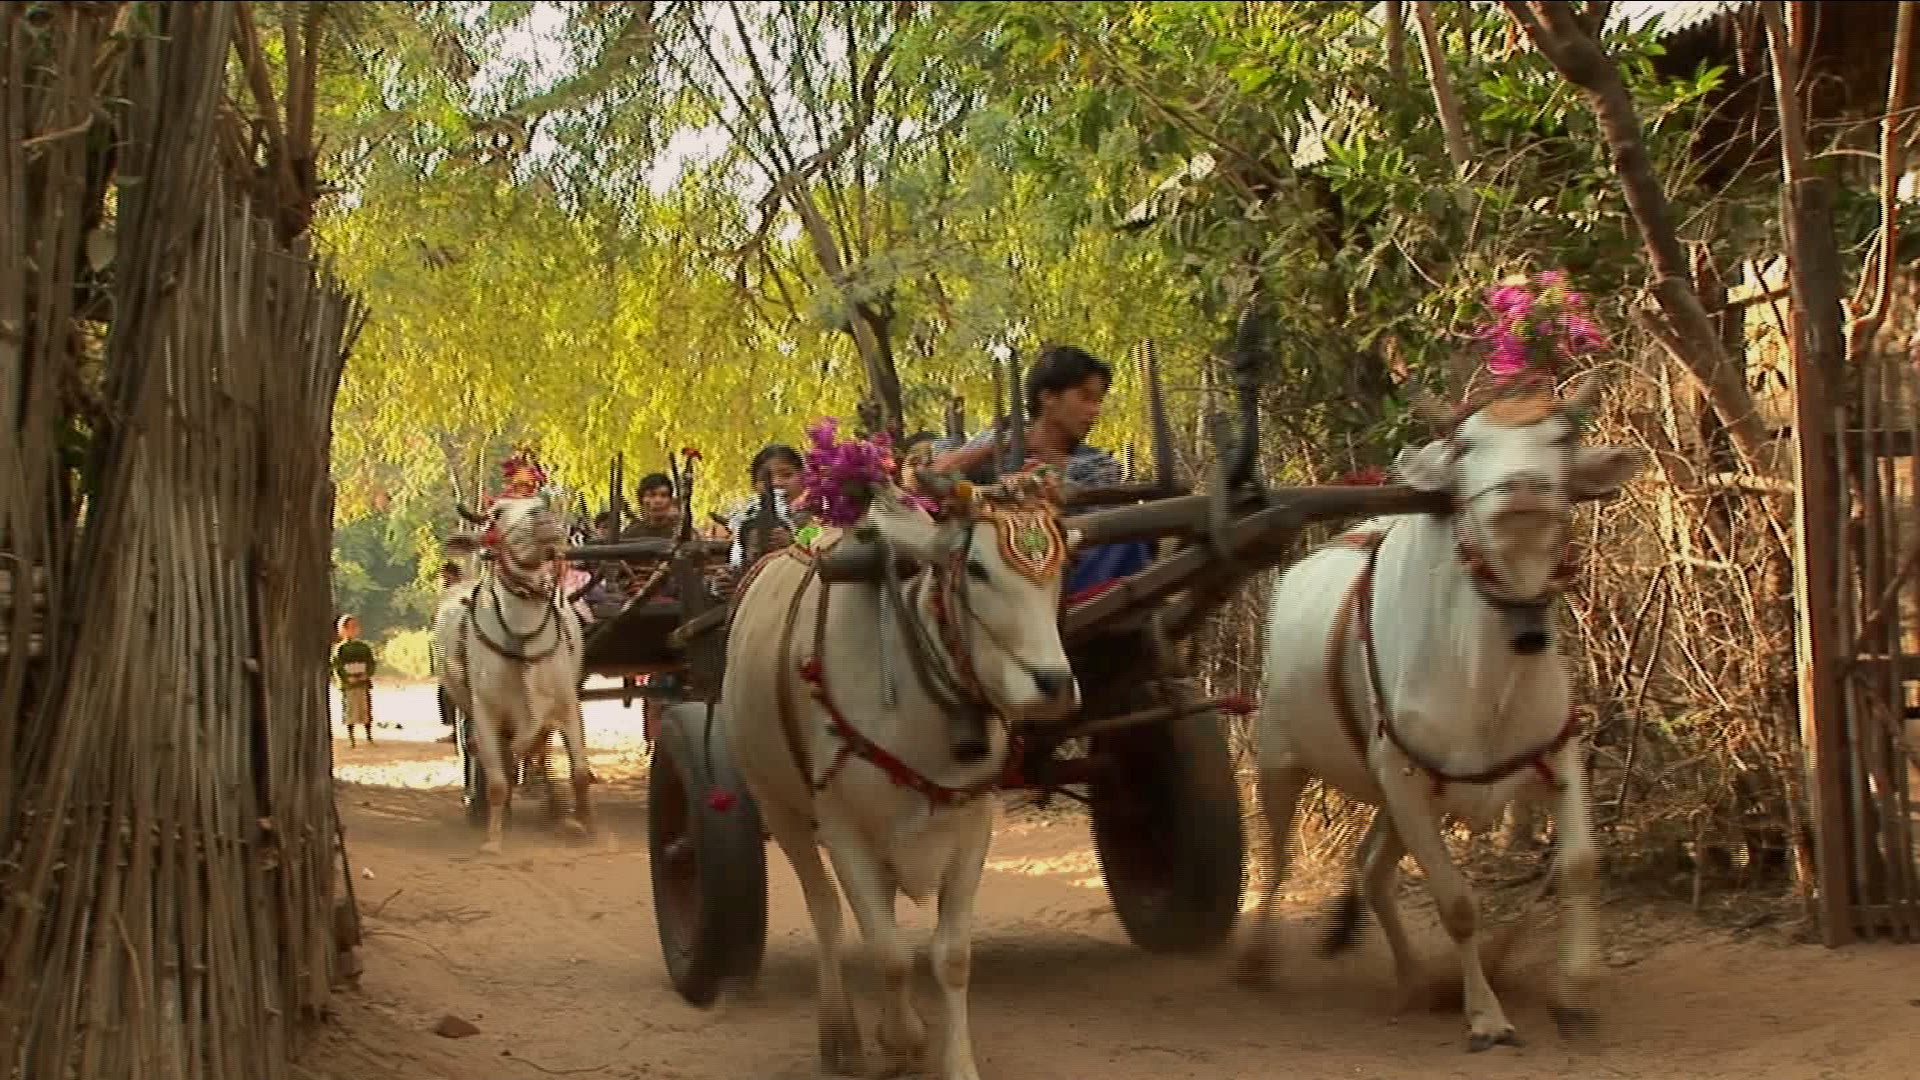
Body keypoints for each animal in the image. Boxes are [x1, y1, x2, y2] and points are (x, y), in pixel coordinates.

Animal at [433, 494, 595, 856]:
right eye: (496, 514)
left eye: (540, 500)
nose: (542, 517)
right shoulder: (486, 713)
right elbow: (496, 782)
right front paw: (493, 839)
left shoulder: (567, 704)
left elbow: (579, 772)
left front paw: (581, 824)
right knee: (487, 756)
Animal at [722, 469, 1078, 1080]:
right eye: (976, 568)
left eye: (1061, 567)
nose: (1053, 684)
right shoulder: (841, 826)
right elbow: (888, 952)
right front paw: (903, 1039)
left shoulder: (972, 824)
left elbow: (951, 957)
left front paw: (956, 1062)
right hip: (777, 804)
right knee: (826, 913)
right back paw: (840, 1034)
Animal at [1237, 370, 1645, 1051]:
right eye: (1466, 447)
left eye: (1562, 441)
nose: (1523, 491)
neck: (1488, 671)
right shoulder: (1403, 778)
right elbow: (1457, 903)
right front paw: (1485, 1016)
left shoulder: (1556, 755)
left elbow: (1581, 866)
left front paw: (1576, 991)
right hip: (1279, 753)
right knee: (1274, 853)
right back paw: (1255, 956)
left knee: (1371, 871)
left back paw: (1413, 980)